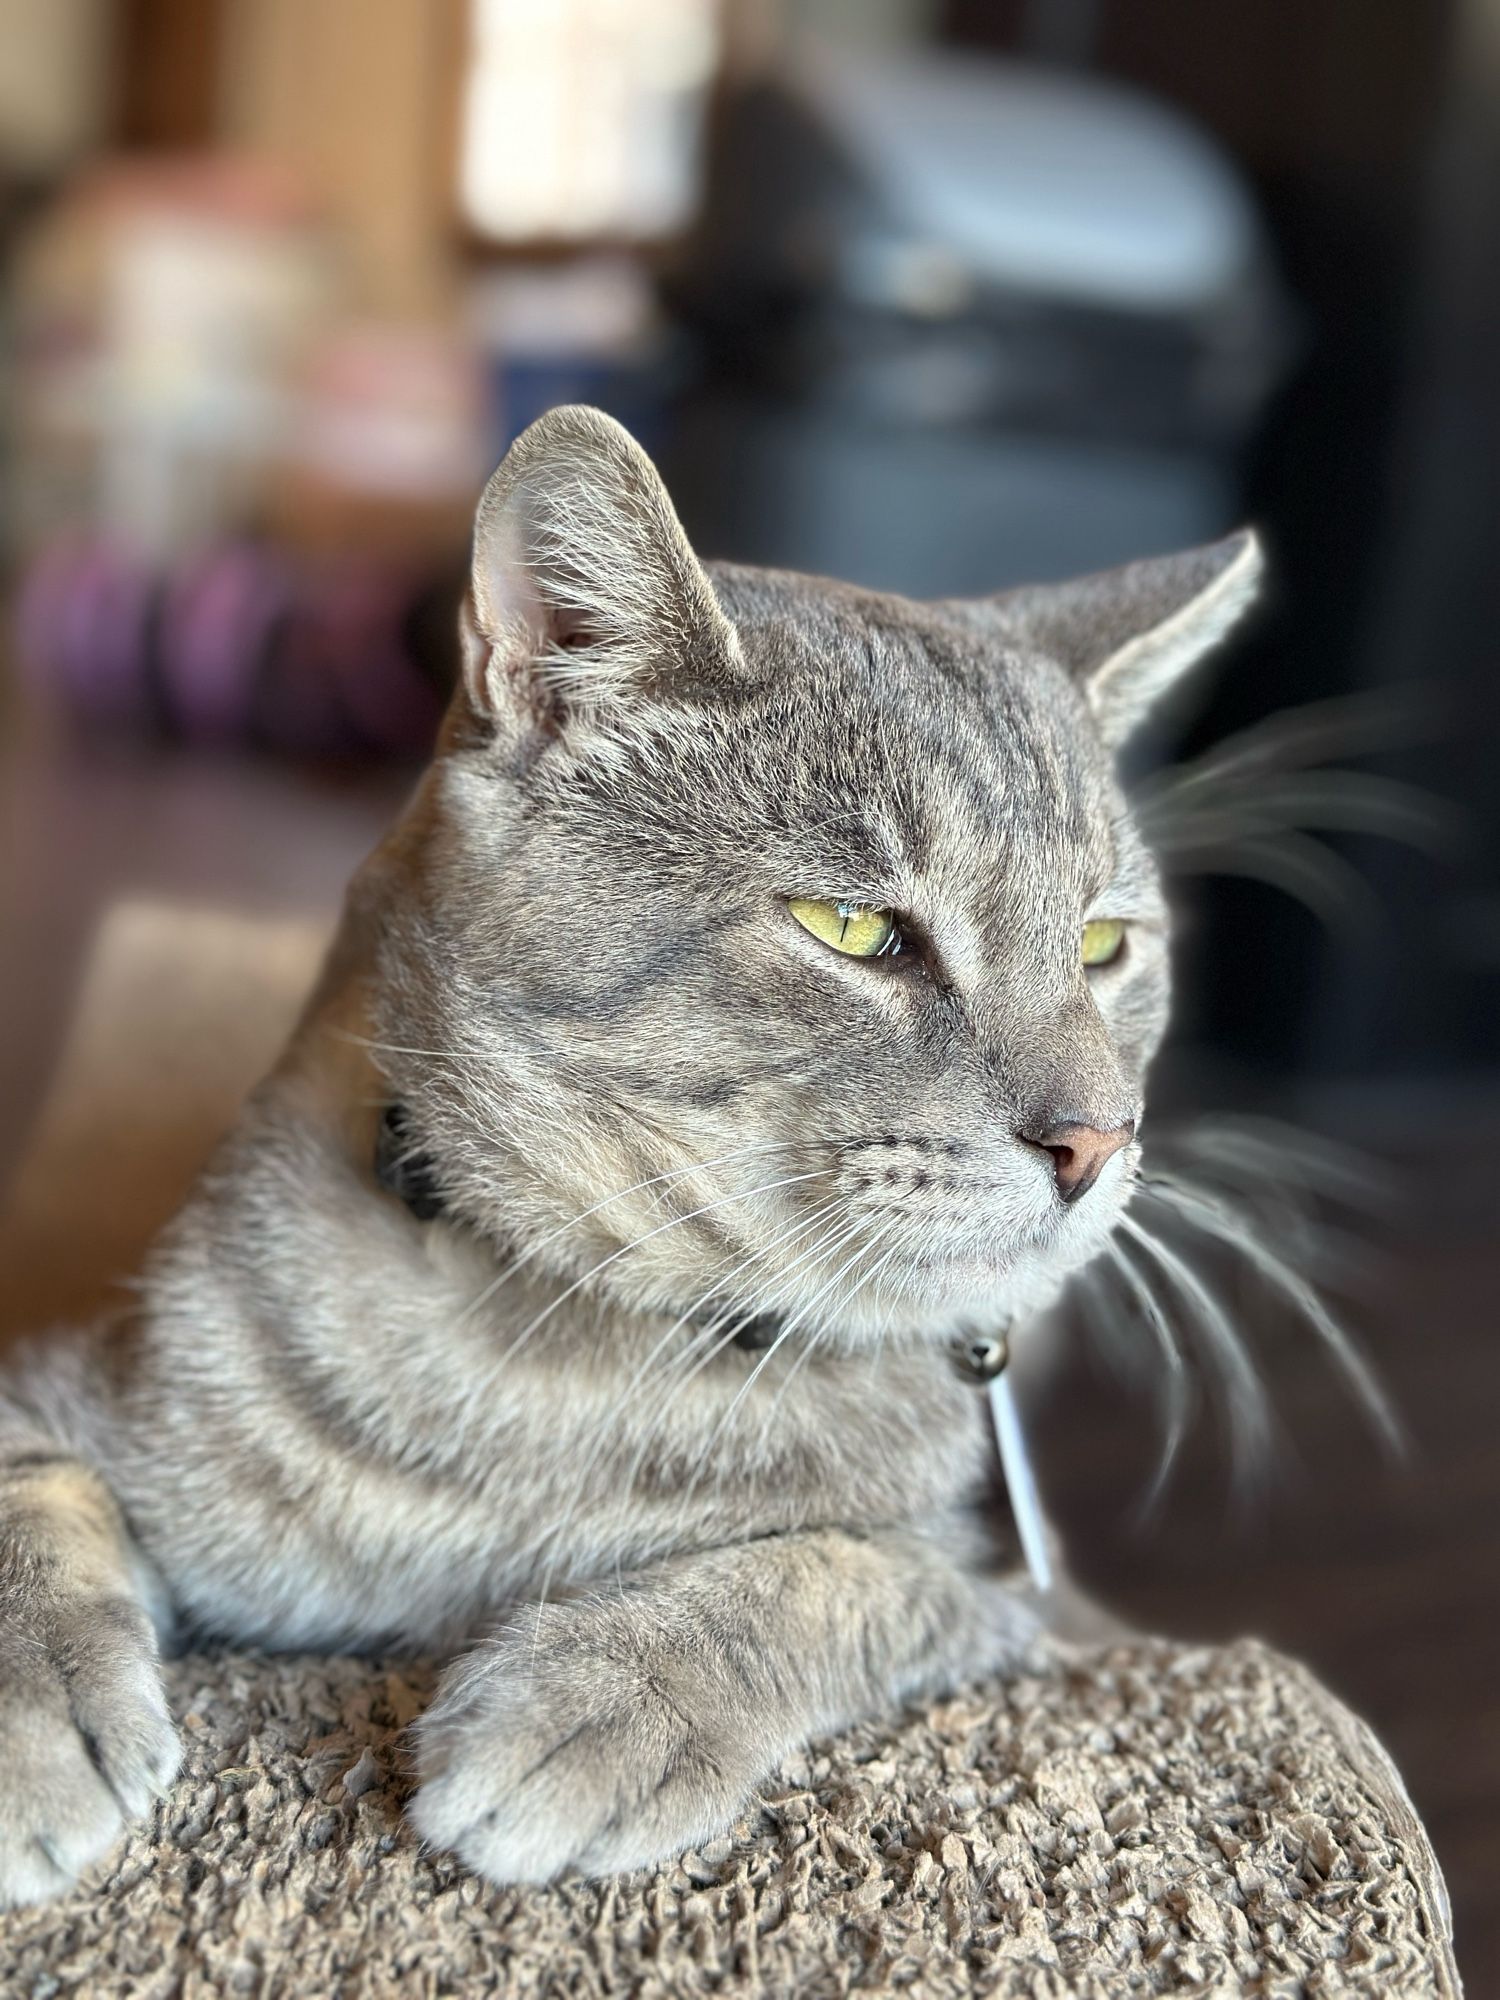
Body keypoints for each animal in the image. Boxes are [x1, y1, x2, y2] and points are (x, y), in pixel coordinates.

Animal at [0, 406, 1272, 1904]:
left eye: (1103, 944)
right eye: (854, 928)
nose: (1096, 1141)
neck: (579, 1357)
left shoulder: (1024, 1593)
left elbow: (836, 1571)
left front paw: (607, 1695)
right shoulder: (66, 1381)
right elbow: (31, 1488)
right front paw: (32, 1712)